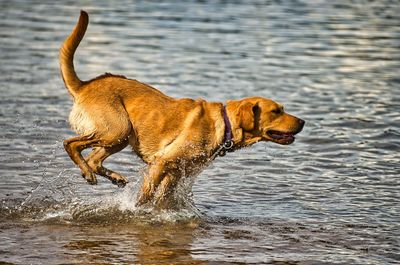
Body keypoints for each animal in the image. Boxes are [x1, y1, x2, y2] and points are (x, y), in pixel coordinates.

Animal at [58, 10, 304, 204]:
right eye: (277, 111)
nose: (303, 121)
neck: (223, 125)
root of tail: (85, 85)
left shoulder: (175, 173)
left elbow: (163, 197)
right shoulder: (161, 163)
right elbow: (145, 197)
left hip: (120, 137)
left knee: (93, 159)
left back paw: (113, 176)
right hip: (117, 129)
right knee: (70, 144)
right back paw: (88, 173)